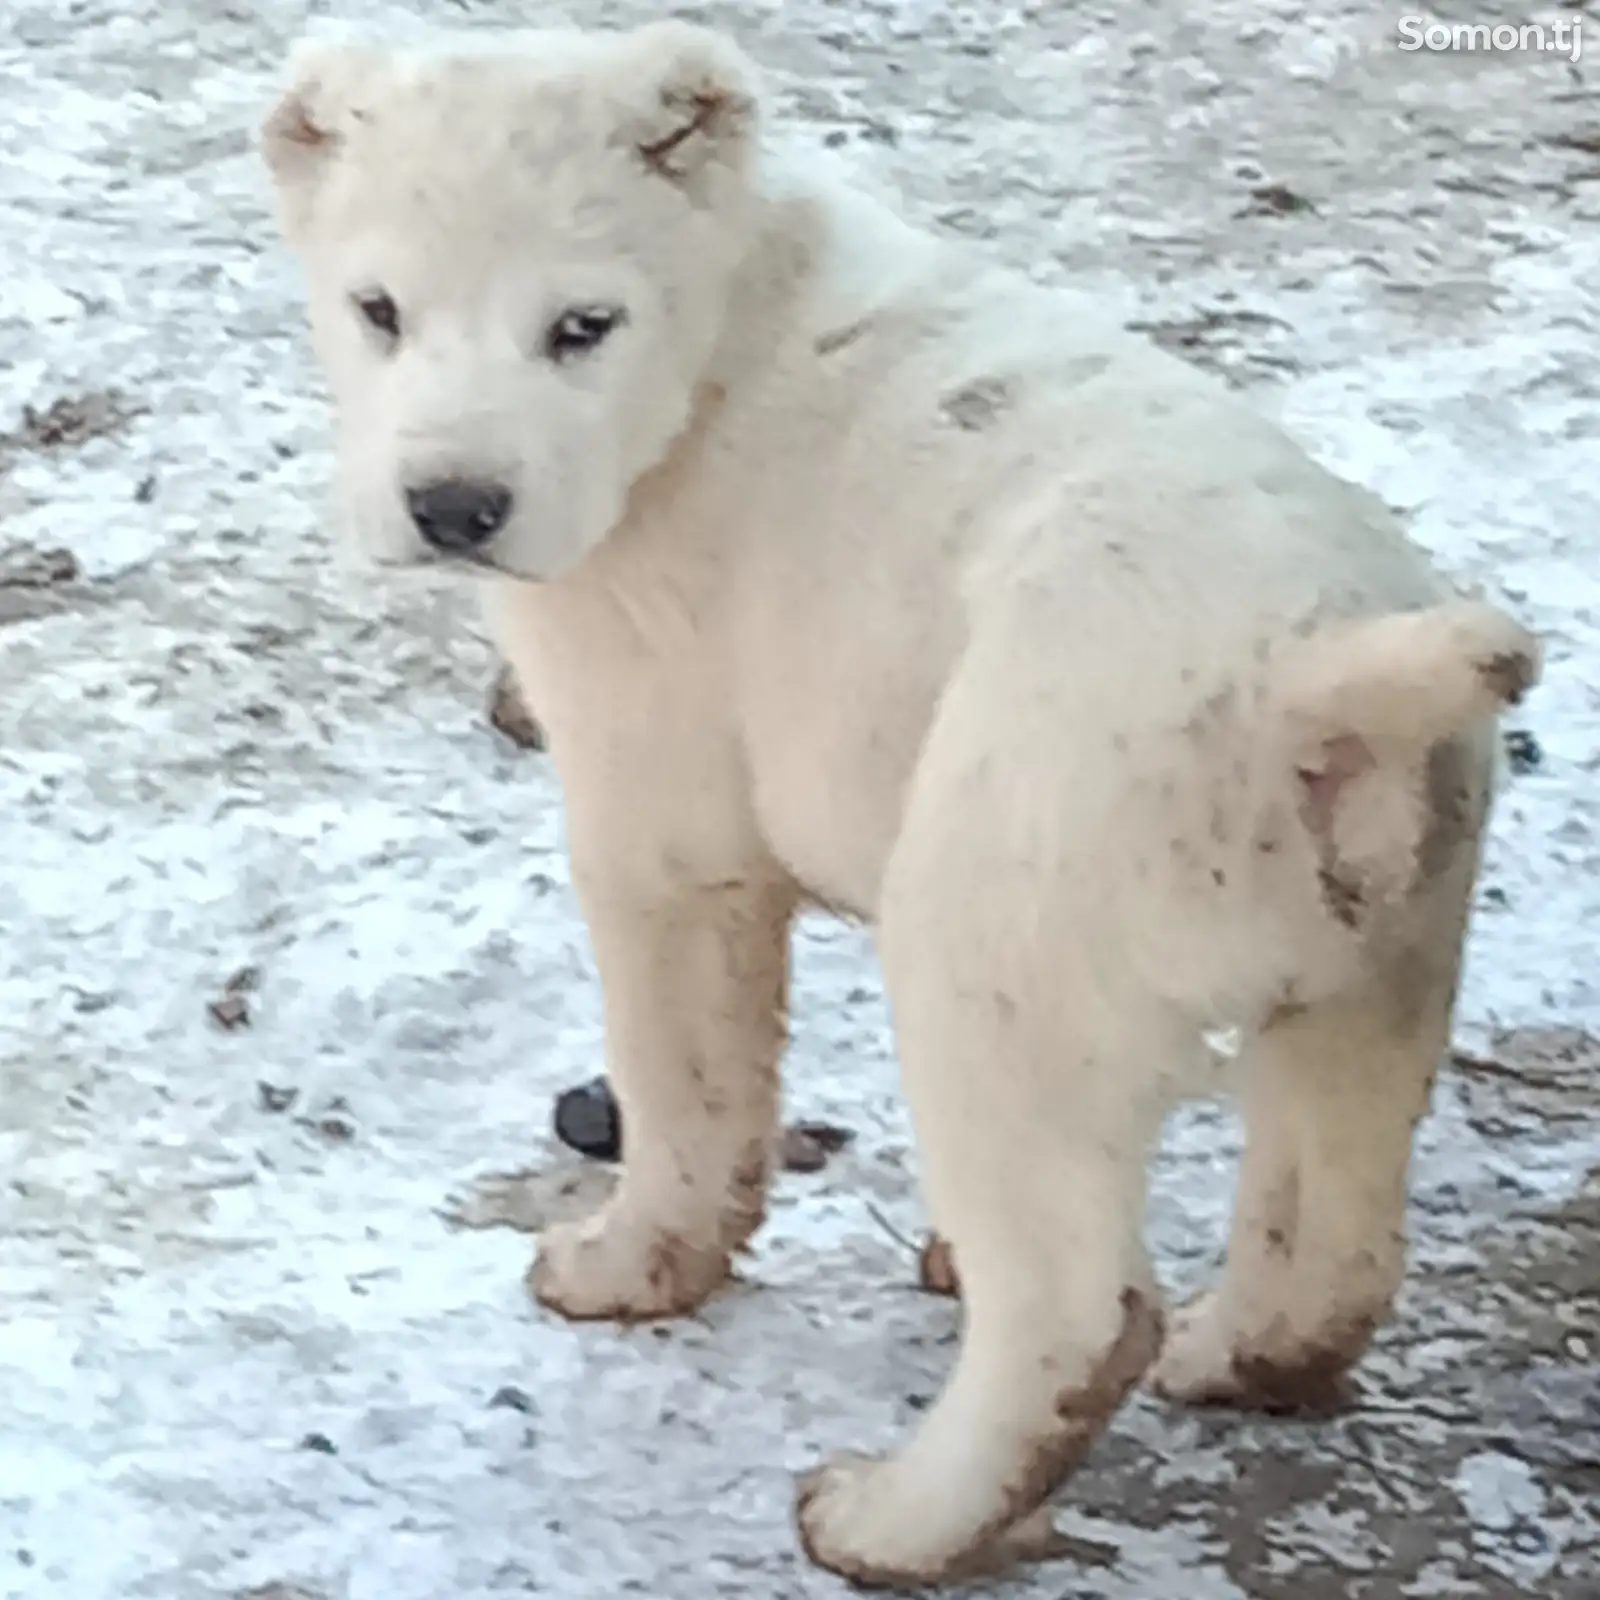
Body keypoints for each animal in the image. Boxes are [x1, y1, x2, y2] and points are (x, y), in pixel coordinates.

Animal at [268, 21, 1542, 1587]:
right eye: (377, 310)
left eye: (581, 326)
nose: (453, 506)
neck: (722, 332)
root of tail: (1315, 675)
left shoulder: (661, 775)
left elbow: (681, 1067)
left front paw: (627, 1267)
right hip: (1386, 939)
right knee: (1334, 1217)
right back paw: (1229, 1353)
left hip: (1007, 910)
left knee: (1068, 1301)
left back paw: (890, 1515)